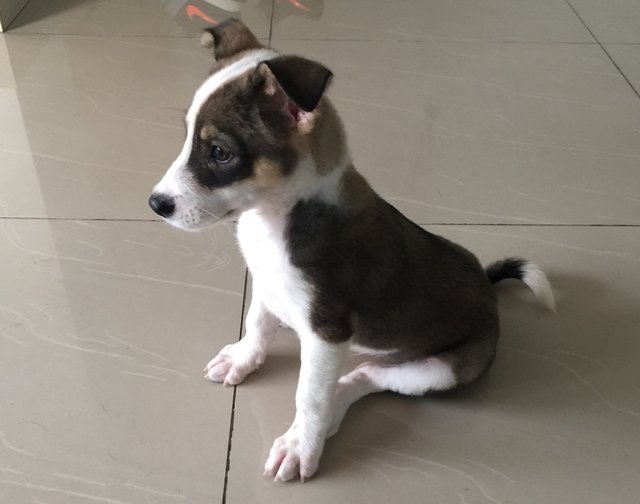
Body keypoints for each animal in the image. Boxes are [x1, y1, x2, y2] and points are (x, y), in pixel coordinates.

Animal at [148, 18, 552, 484]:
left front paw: (302, 447)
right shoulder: (266, 285)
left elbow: (309, 394)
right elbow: (258, 325)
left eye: (219, 152)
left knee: (363, 378)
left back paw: (319, 426)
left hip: (442, 369)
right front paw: (244, 359)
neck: (275, 218)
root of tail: (489, 291)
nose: (155, 204)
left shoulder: (327, 331)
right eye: (188, 139)